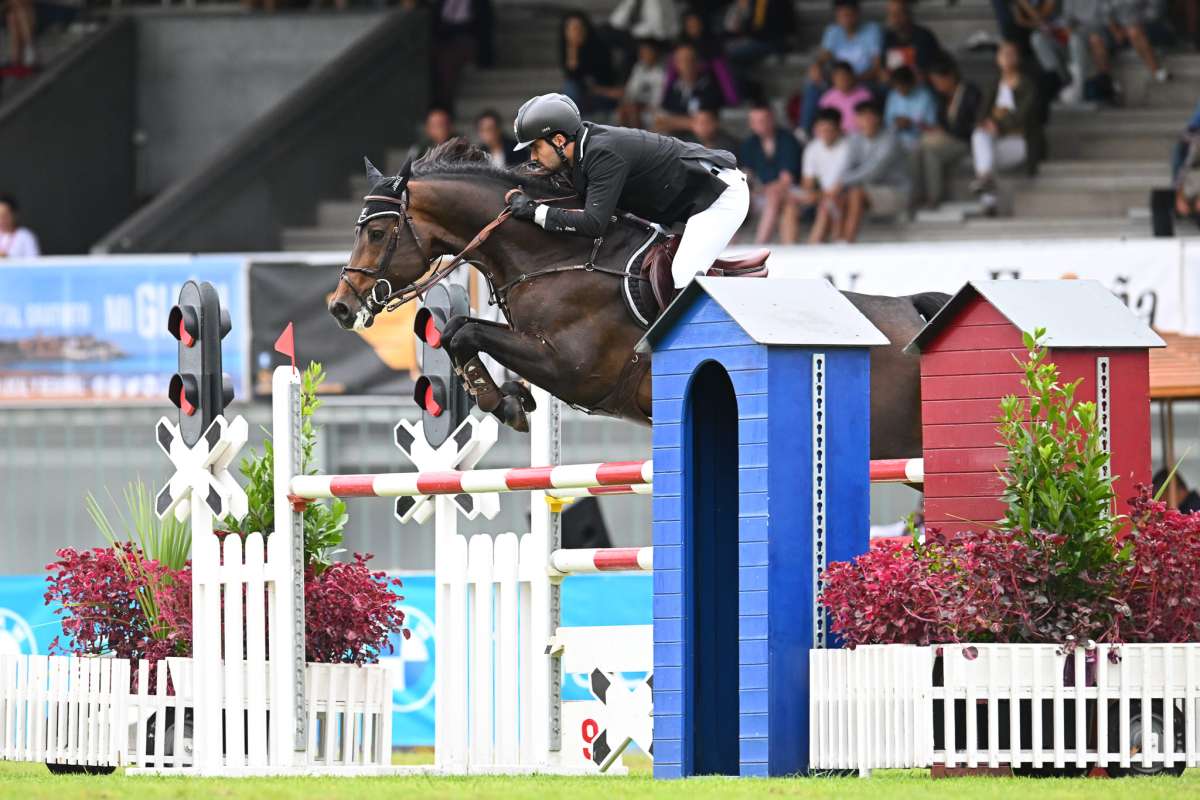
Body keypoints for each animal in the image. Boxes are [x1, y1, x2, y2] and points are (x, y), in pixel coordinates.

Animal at [328, 140, 945, 460]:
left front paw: (500, 402)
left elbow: (463, 332)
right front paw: (511, 397)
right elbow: (466, 334)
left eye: (377, 232)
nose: (340, 306)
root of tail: (910, 309)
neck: (555, 256)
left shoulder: (573, 368)